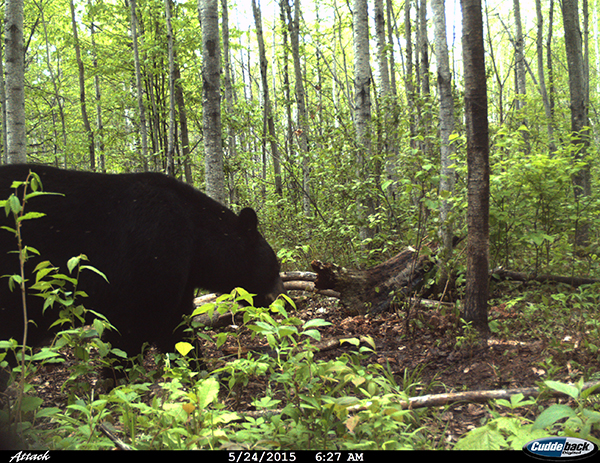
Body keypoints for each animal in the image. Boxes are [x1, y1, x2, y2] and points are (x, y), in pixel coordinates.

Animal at [0, 165, 284, 364]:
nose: (280, 297)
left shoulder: (177, 277)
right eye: (275, 266)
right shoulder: (149, 260)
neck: (196, 239)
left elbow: (177, 331)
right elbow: (132, 332)